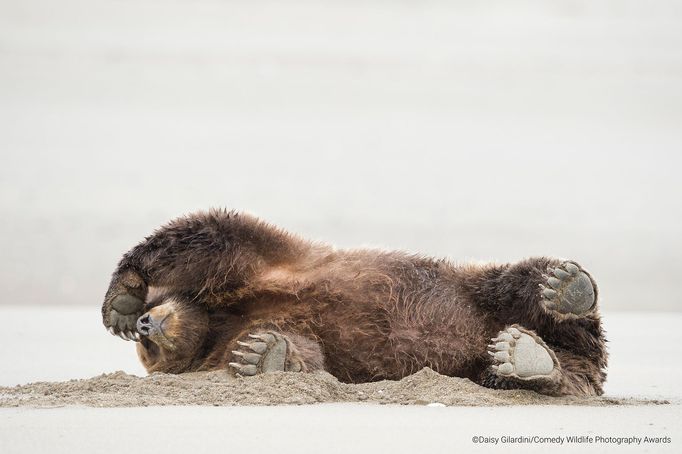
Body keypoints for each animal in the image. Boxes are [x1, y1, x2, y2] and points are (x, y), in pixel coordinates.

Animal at [102, 210, 604, 398]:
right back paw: (527, 357)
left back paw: (567, 287)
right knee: (556, 374)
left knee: (519, 280)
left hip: (475, 290)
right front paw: (261, 354)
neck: (218, 320)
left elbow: (211, 238)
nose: (145, 325)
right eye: (147, 351)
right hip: (495, 364)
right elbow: (305, 352)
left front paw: (122, 300)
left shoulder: (270, 268)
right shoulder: (235, 335)